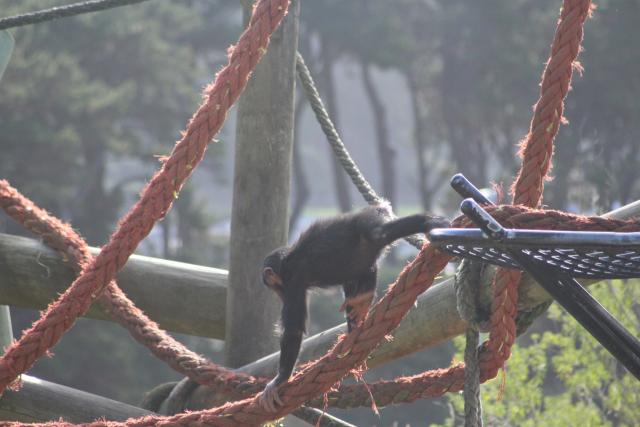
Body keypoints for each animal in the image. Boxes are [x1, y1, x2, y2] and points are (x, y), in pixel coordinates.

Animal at [258, 206, 448, 412]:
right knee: (364, 270)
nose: (279, 294)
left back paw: (433, 221)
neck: (287, 264)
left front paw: (279, 380)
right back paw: (362, 303)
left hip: (369, 221)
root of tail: (379, 208)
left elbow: (293, 330)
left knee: (380, 233)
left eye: (274, 287)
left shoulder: (293, 283)